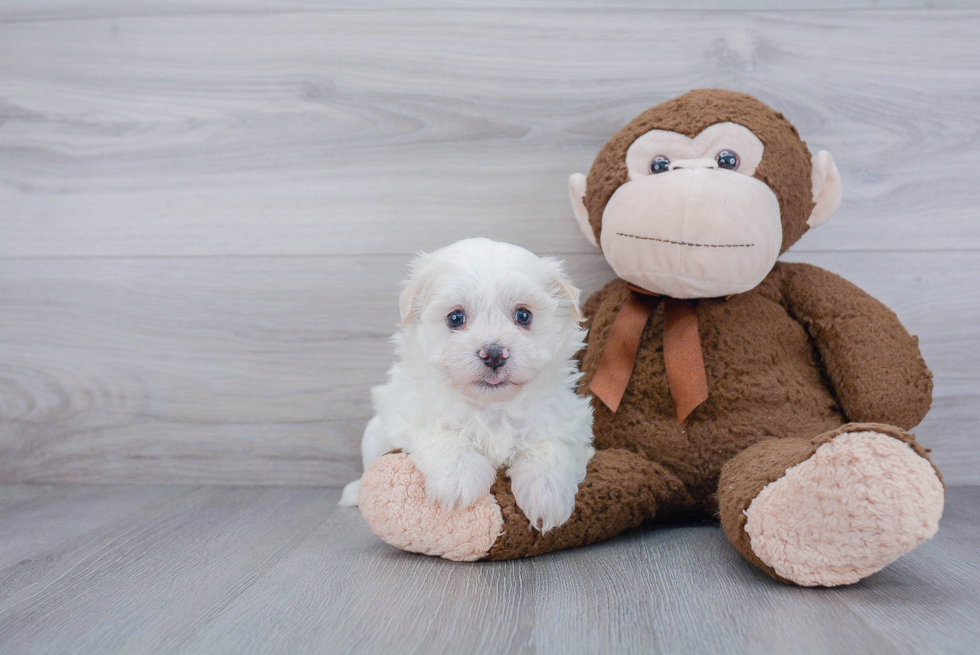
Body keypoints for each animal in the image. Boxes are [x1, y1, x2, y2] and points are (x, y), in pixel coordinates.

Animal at [340, 237, 592, 532]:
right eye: (456, 318)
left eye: (524, 316)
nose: (493, 353)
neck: (491, 405)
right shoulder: (409, 416)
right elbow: (442, 433)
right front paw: (458, 480)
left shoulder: (566, 422)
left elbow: (552, 445)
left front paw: (547, 493)